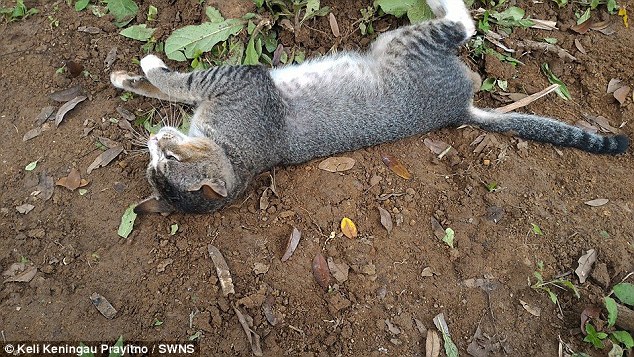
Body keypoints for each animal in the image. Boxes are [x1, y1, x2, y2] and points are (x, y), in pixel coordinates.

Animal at [110, 0, 628, 213]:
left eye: (168, 158)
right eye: (156, 164)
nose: (154, 141)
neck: (236, 153)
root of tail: (458, 109)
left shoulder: (239, 81)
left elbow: (176, 82)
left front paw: (144, 68)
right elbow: (170, 88)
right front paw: (132, 77)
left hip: (407, 42)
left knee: (464, 23)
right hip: (404, 44)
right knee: (465, 29)